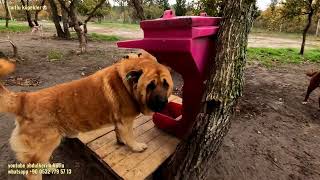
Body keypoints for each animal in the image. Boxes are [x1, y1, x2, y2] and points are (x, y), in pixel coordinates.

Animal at [0, 51, 172, 179]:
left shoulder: (119, 122)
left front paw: (121, 141)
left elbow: (120, 134)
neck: (127, 84)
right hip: (47, 142)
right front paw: (136, 147)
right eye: (150, 86)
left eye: (166, 84)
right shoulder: (126, 122)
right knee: (32, 171)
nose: (163, 103)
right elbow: (130, 137)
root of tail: (24, 98)